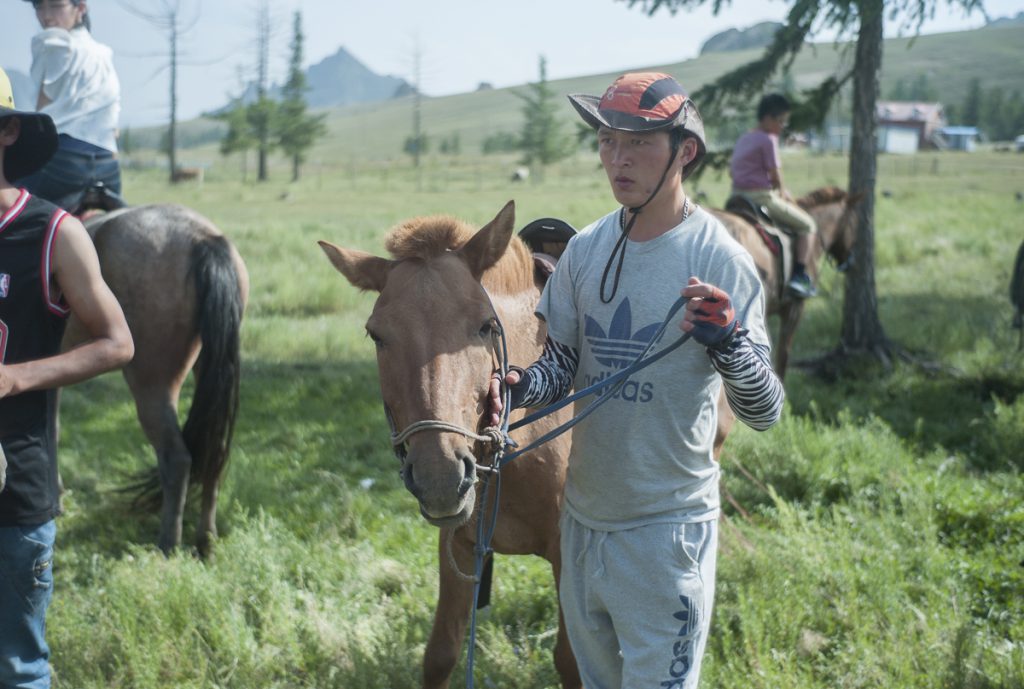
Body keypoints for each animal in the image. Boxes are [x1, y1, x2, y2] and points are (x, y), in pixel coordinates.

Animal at [65, 206, 247, 556]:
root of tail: (202, 238)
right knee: (214, 450)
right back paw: (206, 542)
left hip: (151, 383)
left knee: (176, 459)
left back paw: (168, 547)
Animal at [319, 201, 581, 687]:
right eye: (376, 335)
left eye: (484, 326)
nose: (440, 475)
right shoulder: (455, 542)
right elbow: (441, 652)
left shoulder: (568, 555)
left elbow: (573, 661)